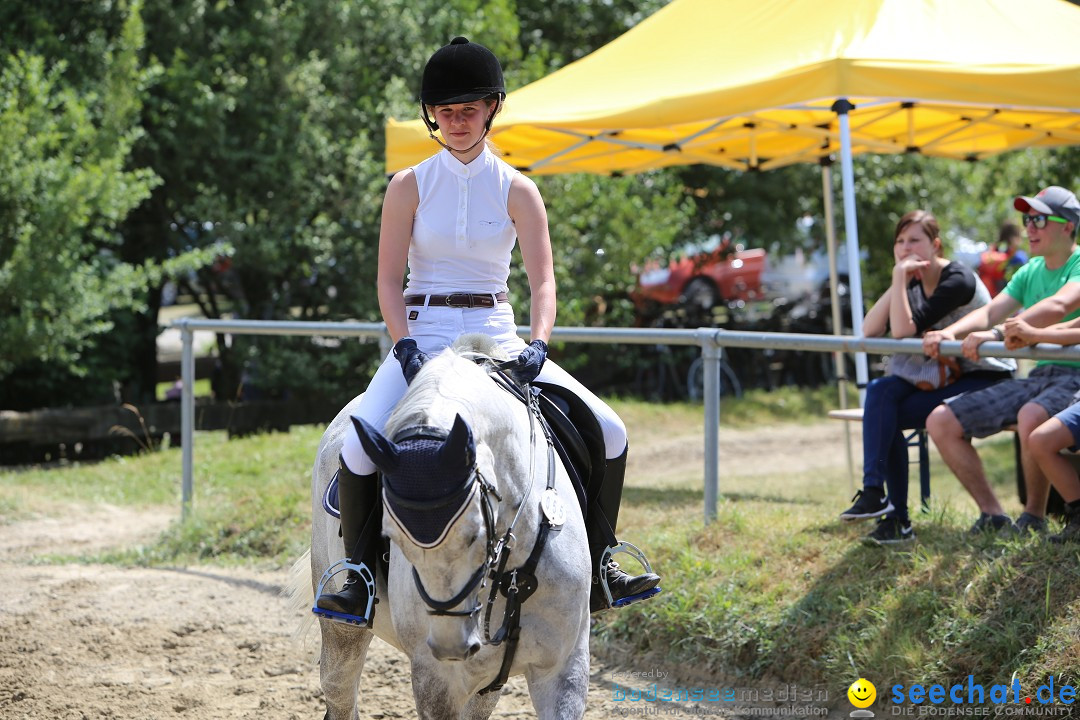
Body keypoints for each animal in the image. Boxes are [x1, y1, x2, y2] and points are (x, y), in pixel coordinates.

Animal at [291, 334, 591, 720]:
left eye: (476, 535)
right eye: (394, 541)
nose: (451, 647)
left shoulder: (565, 670)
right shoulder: (435, 680)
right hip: (341, 632)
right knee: (340, 692)